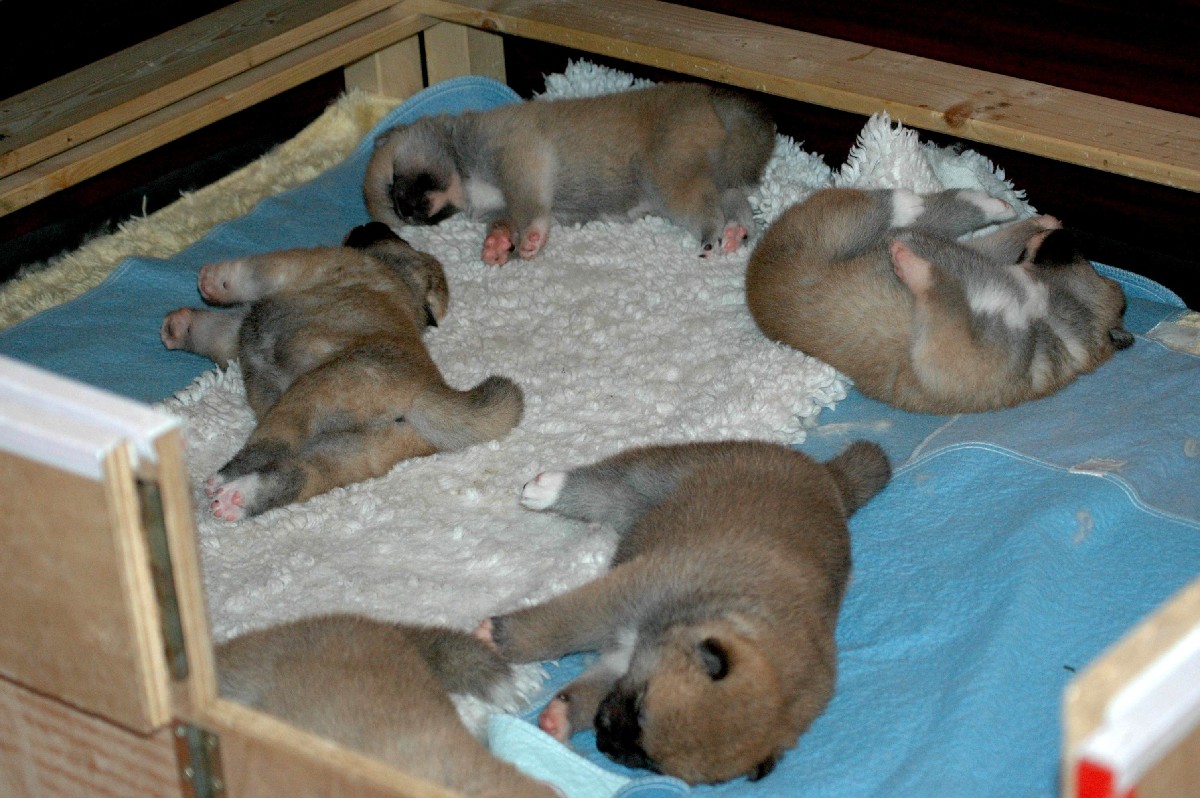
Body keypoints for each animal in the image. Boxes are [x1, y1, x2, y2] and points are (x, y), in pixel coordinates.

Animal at [161, 222, 523, 520]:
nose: (369, 223)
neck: (401, 279)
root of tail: (425, 392)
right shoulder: (235, 332)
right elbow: (211, 331)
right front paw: (180, 326)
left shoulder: (295, 265)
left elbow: (245, 276)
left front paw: (211, 280)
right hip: (351, 453)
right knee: (298, 475)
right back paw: (238, 498)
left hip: (309, 397)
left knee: (270, 445)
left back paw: (225, 479)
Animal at [363, 83, 776, 265]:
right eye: (397, 213)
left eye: (394, 181)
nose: (407, 212)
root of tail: (709, 97)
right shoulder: (500, 207)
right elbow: (504, 223)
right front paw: (497, 246)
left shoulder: (520, 156)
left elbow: (529, 209)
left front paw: (530, 239)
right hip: (711, 174)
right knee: (735, 202)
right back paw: (737, 233)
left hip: (669, 177)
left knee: (708, 211)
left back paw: (711, 237)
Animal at [476, 439, 891, 784]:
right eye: (639, 706)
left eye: (650, 761)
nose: (604, 742)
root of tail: (830, 477)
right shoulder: (621, 598)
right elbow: (558, 627)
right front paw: (495, 638)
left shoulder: (623, 660)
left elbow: (592, 685)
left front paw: (560, 717)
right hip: (665, 472)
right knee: (605, 484)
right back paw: (549, 488)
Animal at [745, 187, 1134, 413]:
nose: (1065, 232)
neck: (1042, 309)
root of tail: (752, 278)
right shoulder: (987, 260)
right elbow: (995, 247)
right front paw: (1040, 221)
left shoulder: (950, 349)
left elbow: (942, 290)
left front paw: (910, 263)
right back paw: (993, 205)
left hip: (830, 229)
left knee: (886, 209)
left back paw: (911, 208)